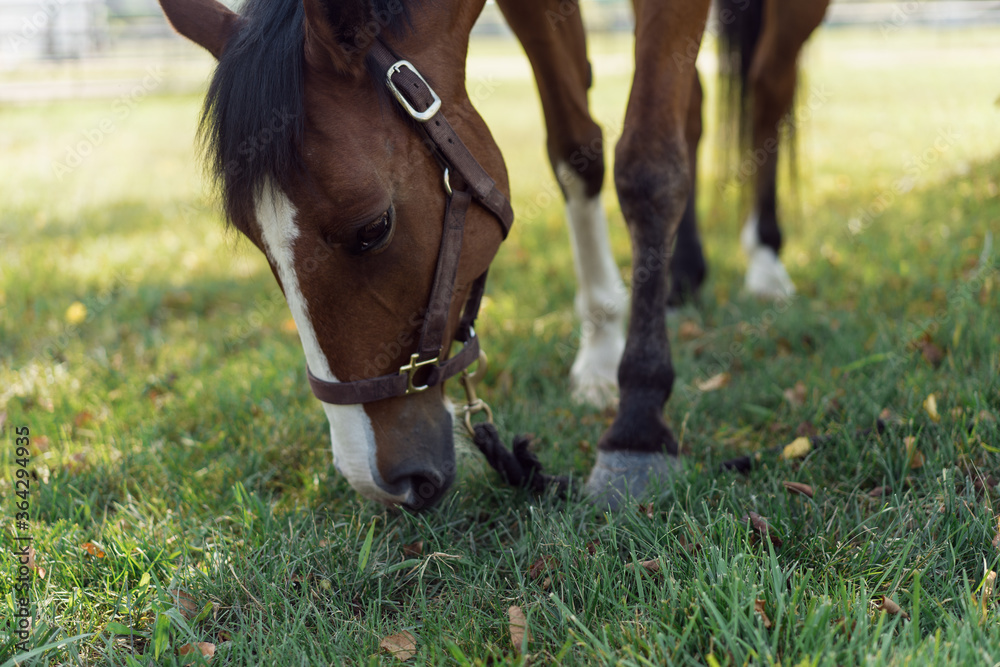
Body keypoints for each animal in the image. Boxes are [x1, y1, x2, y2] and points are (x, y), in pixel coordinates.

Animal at [156, 0, 826, 511]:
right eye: (255, 241)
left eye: (373, 228)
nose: (374, 481)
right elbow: (578, 151)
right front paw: (601, 349)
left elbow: (649, 168)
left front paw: (637, 422)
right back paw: (683, 275)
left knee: (767, 88)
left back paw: (766, 262)